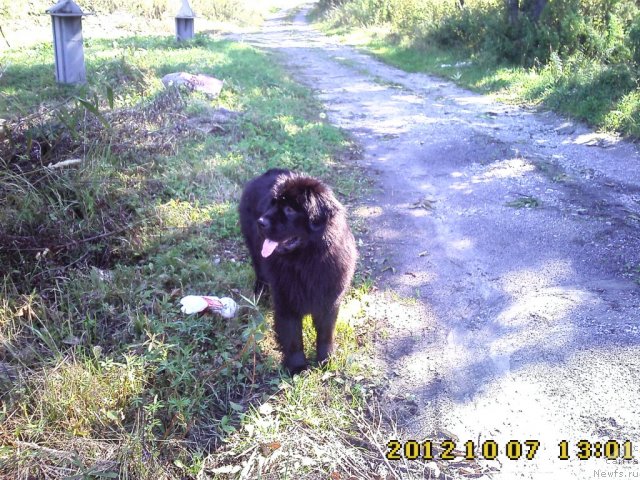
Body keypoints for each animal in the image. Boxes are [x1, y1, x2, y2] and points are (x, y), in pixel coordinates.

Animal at [240, 170, 360, 376]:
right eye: (273, 204)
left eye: (289, 209)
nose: (260, 222)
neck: (306, 262)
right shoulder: (286, 301)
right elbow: (293, 337)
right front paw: (297, 367)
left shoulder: (329, 300)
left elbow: (325, 334)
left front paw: (325, 360)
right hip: (255, 250)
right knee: (260, 272)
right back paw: (259, 294)